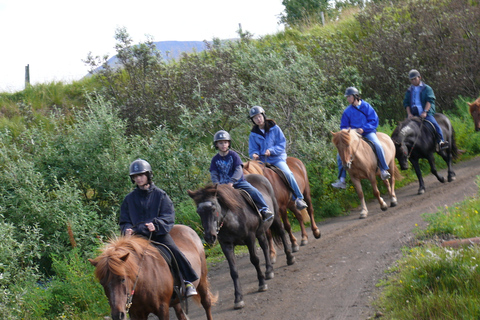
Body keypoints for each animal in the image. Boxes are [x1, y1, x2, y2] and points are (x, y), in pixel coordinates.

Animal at [88, 224, 216, 320]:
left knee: (206, 302)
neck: (143, 281)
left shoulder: (162, 309)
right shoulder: (136, 314)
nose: (118, 315)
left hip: (202, 280)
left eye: (122, 279)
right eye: (102, 283)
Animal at [187, 174, 292, 312]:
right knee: (264, 245)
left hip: (275, 217)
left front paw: (262, 284)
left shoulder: (250, 238)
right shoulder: (226, 246)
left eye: (213, 208)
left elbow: (255, 260)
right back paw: (269, 271)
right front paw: (238, 298)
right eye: (198, 211)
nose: (210, 236)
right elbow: (234, 271)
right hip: (261, 231)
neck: (232, 219)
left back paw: (290, 258)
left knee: (281, 232)